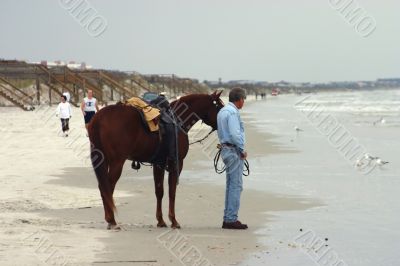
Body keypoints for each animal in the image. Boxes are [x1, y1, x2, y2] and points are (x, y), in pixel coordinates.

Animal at [88, 91, 223, 229]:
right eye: (219, 107)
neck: (178, 119)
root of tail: (99, 118)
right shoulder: (176, 163)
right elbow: (172, 192)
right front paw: (173, 220)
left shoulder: (159, 164)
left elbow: (159, 191)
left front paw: (161, 220)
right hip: (117, 162)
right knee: (108, 187)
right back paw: (112, 220)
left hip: (104, 161)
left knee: (103, 187)